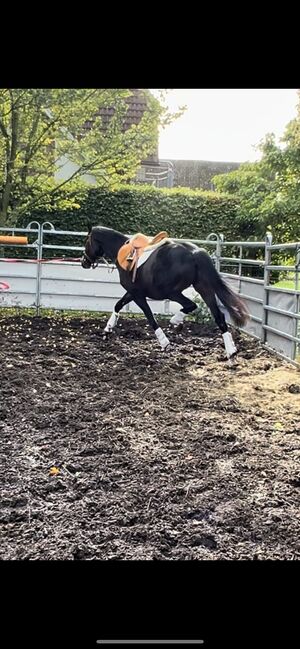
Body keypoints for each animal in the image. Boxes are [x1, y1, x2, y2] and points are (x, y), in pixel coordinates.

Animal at [81, 227, 247, 360]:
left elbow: (150, 317)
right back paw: (231, 351)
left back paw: (176, 321)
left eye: (87, 241)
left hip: (171, 292)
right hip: (203, 288)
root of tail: (195, 253)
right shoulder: (132, 292)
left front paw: (164, 342)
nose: (84, 262)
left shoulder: (137, 294)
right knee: (218, 316)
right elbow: (118, 305)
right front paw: (108, 328)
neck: (121, 250)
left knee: (191, 305)